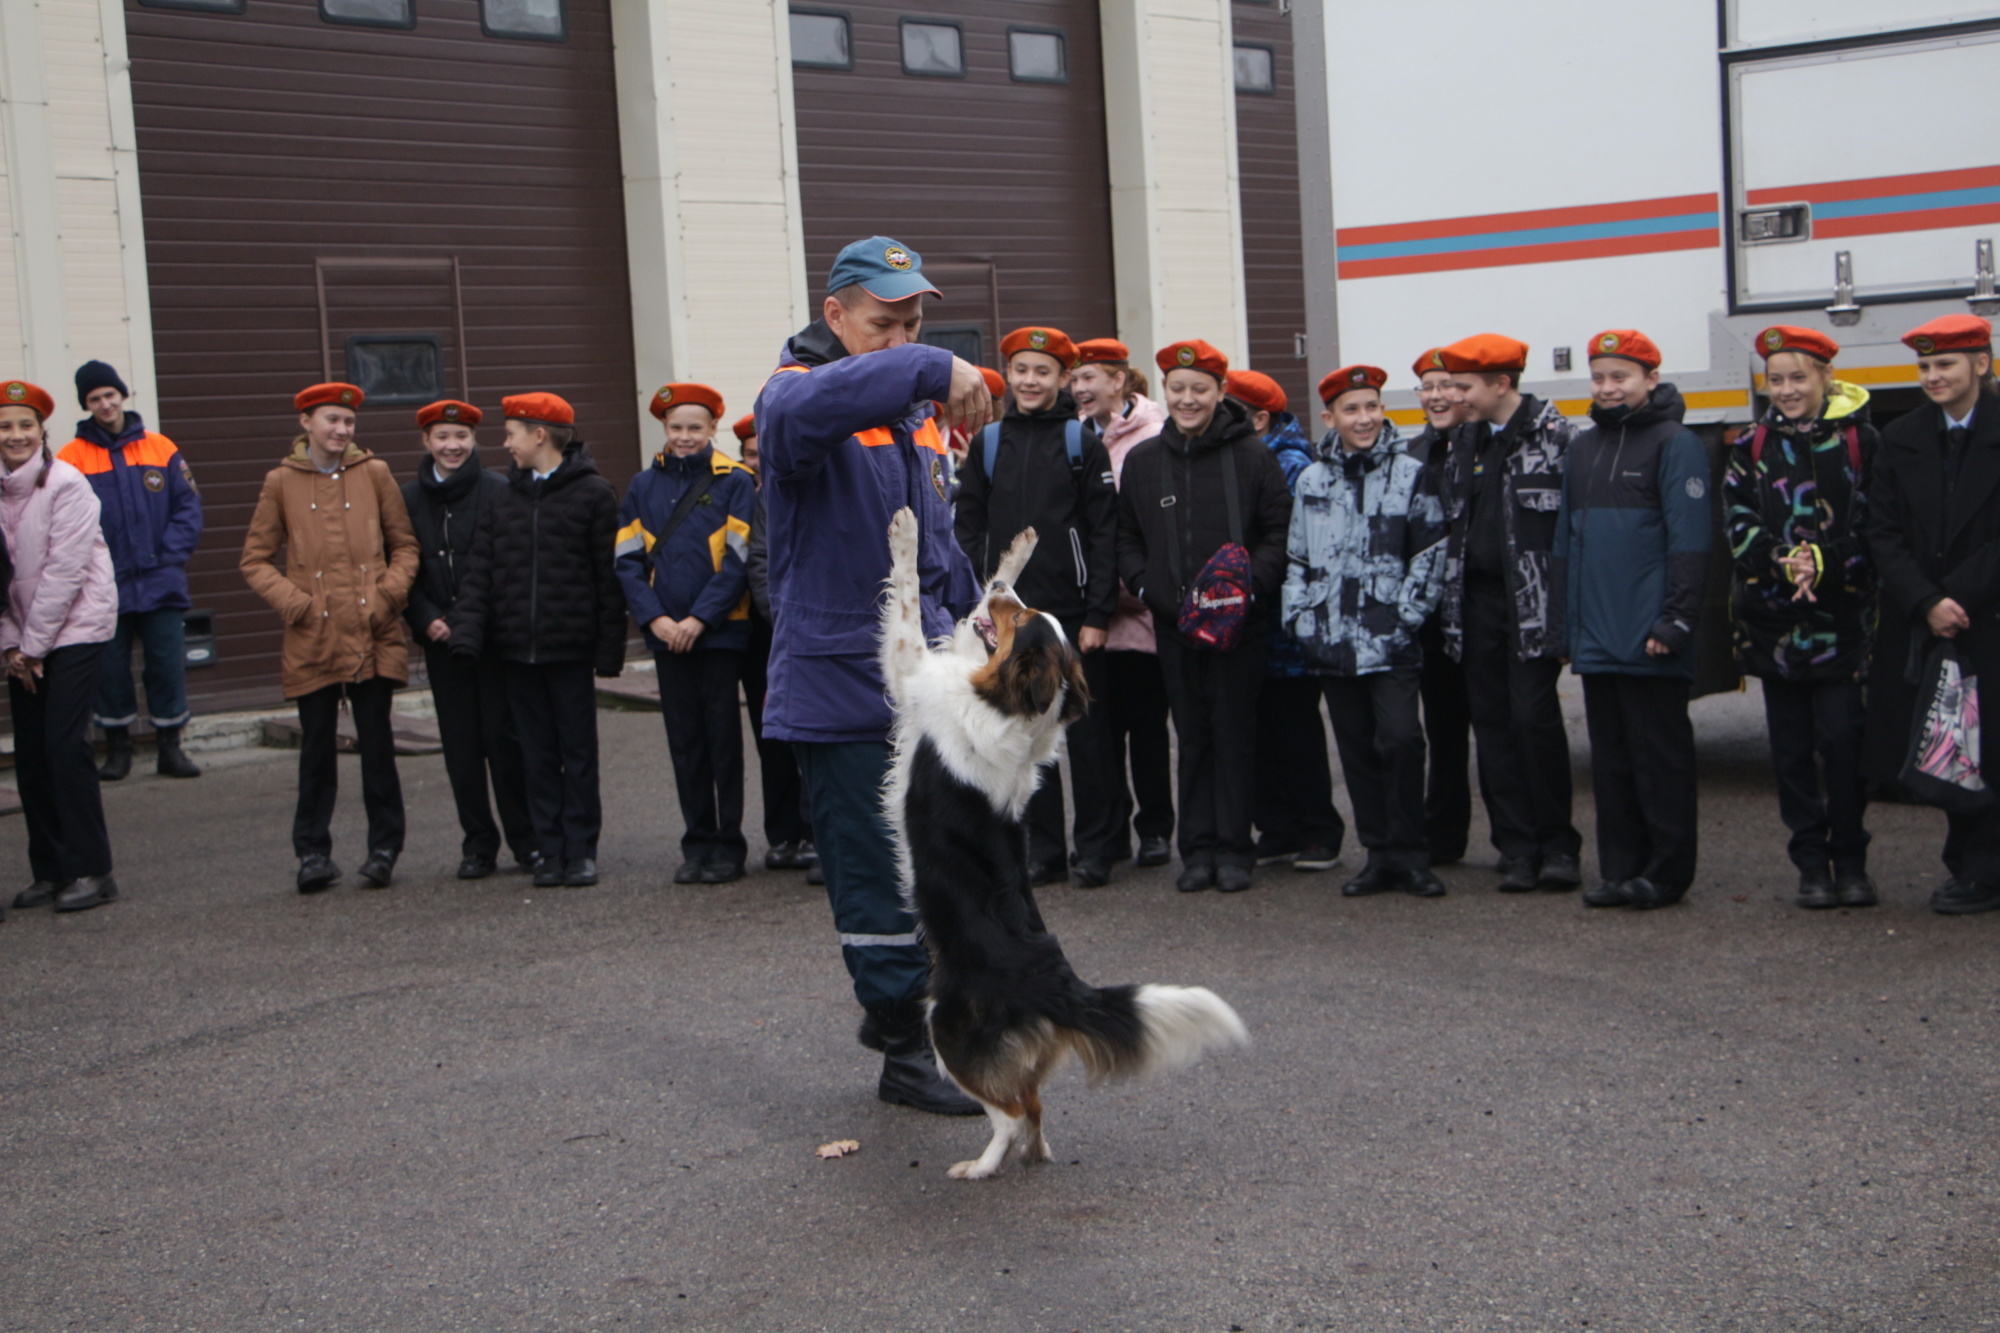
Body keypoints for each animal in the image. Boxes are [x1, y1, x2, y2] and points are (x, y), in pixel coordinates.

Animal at [884, 506, 1240, 1176]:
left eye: (1018, 620)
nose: (1001, 591)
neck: (1013, 708)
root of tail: (1058, 983)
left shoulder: (914, 670)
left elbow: (910, 600)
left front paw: (907, 534)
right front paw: (1019, 550)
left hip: (945, 1025)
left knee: (1010, 1113)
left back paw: (982, 1166)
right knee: (1034, 1105)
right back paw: (1036, 1152)